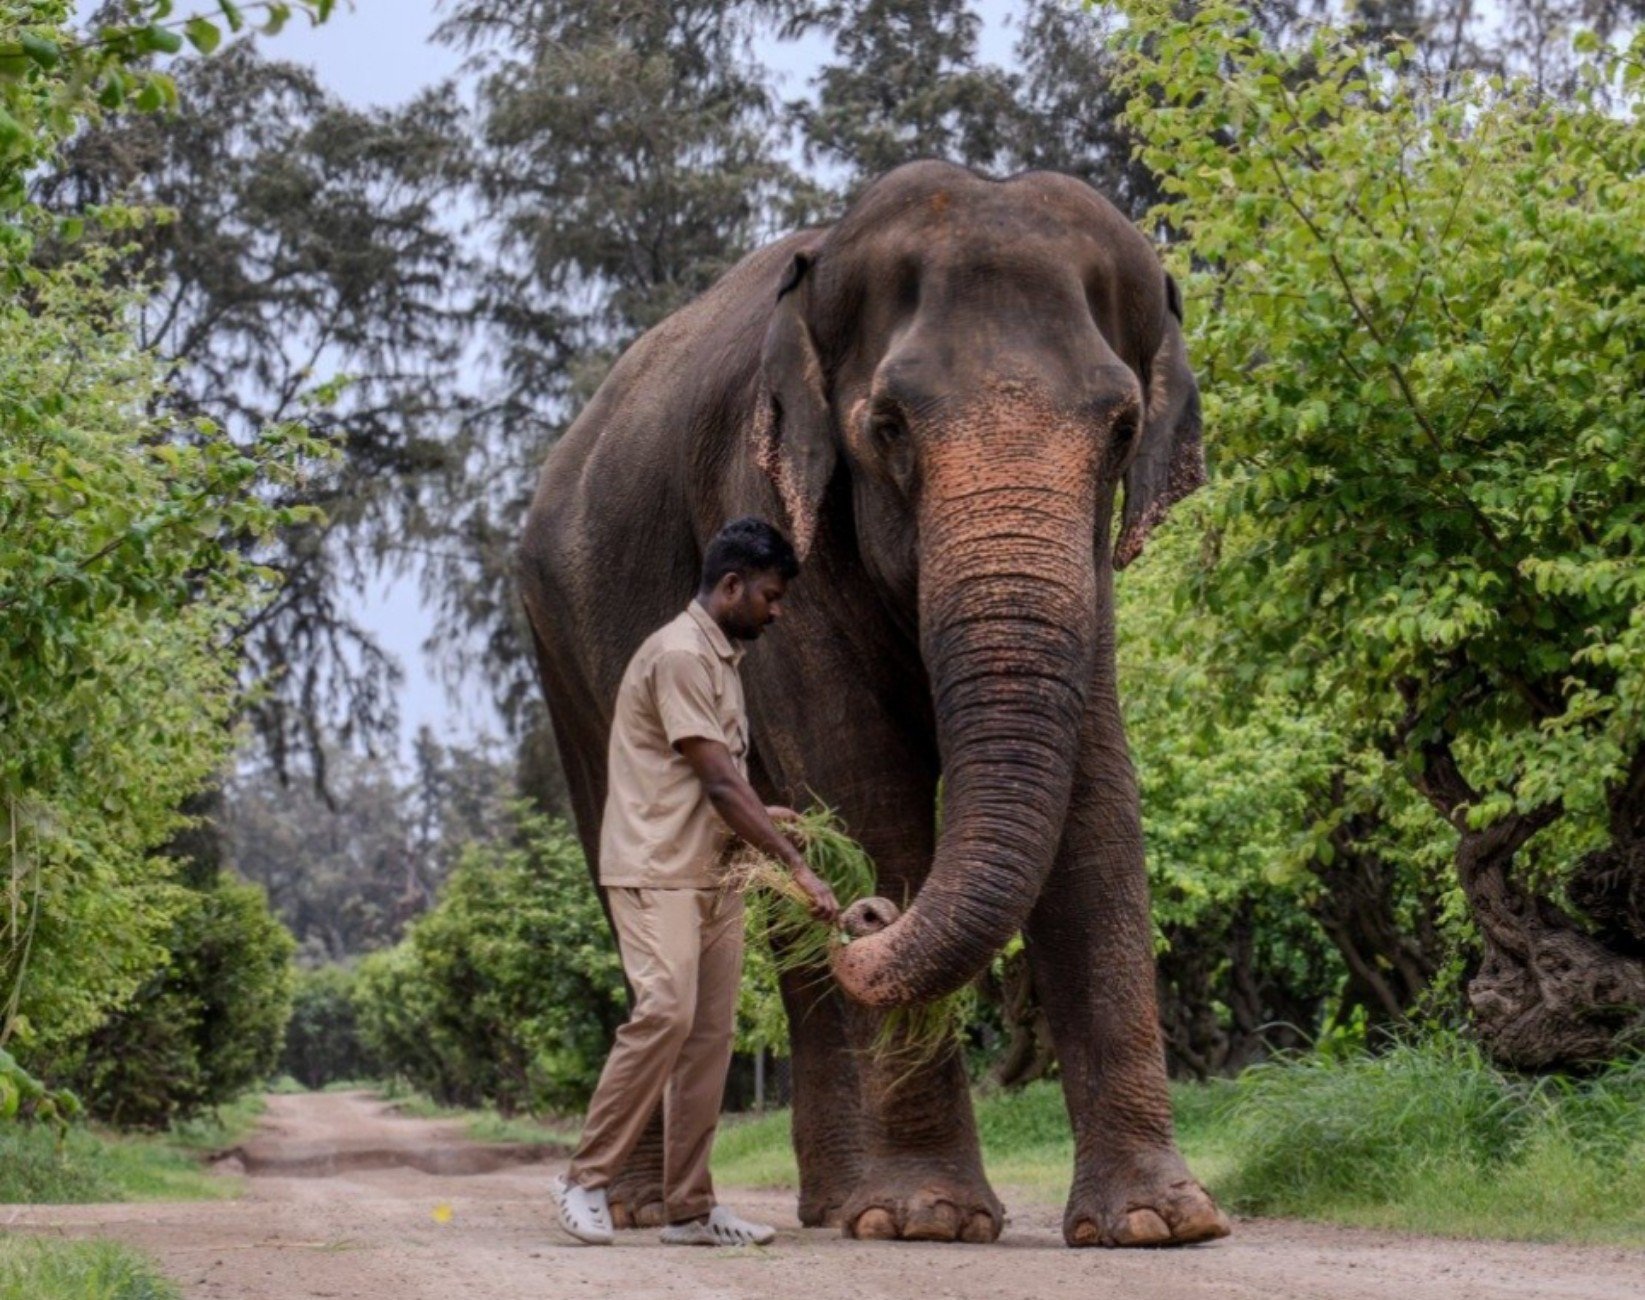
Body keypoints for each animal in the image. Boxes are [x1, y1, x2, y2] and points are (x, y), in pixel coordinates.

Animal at [517, 160, 1228, 1249]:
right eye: (887, 427)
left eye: (1120, 430)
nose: (866, 915)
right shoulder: (763, 493)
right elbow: (862, 778)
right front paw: (929, 1218)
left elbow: (1097, 794)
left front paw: (1160, 1222)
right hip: (558, 638)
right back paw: (637, 1206)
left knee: (778, 949)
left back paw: (826, 1205)